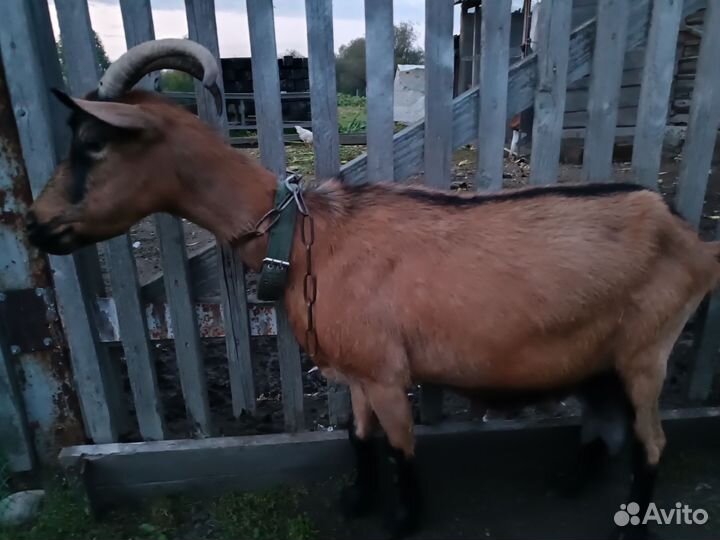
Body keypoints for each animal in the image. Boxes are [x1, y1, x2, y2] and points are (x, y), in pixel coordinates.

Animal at [24, 39, 720, 540]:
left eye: (92, 142)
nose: (35, 224)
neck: (303, 237)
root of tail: (693, 240)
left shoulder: (387, 371)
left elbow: (402, 445)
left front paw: (404, 518)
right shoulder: (354, 369)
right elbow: (359, 439)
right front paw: (357, 498)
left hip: (647, 350)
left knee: (652, 440)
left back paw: (631, 525)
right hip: (603, 351)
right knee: (605, 418)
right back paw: (571, 483)